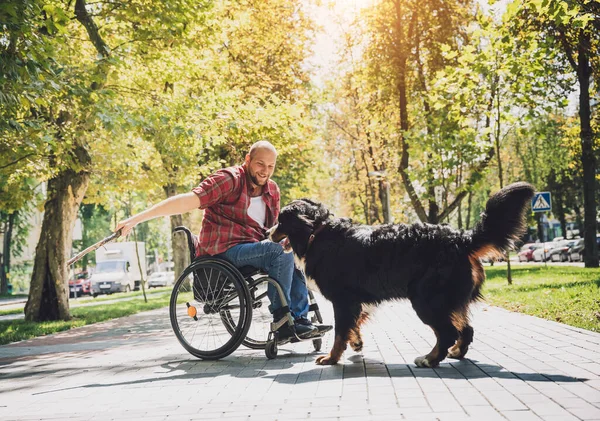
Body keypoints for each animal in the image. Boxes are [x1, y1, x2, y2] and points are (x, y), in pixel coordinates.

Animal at [268, 182, 536, 366]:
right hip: (446, 300)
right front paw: (356, 342)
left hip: (426, 300)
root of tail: (460, 238)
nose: (268, 232)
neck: (318, 233)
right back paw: (455, 352)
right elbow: (353, 325)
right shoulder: (355, 300)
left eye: (281, 221)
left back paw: (430, 359)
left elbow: (340, 332)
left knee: (448, 332)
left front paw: (332, 358)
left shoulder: (343, 300)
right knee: (465, 329)